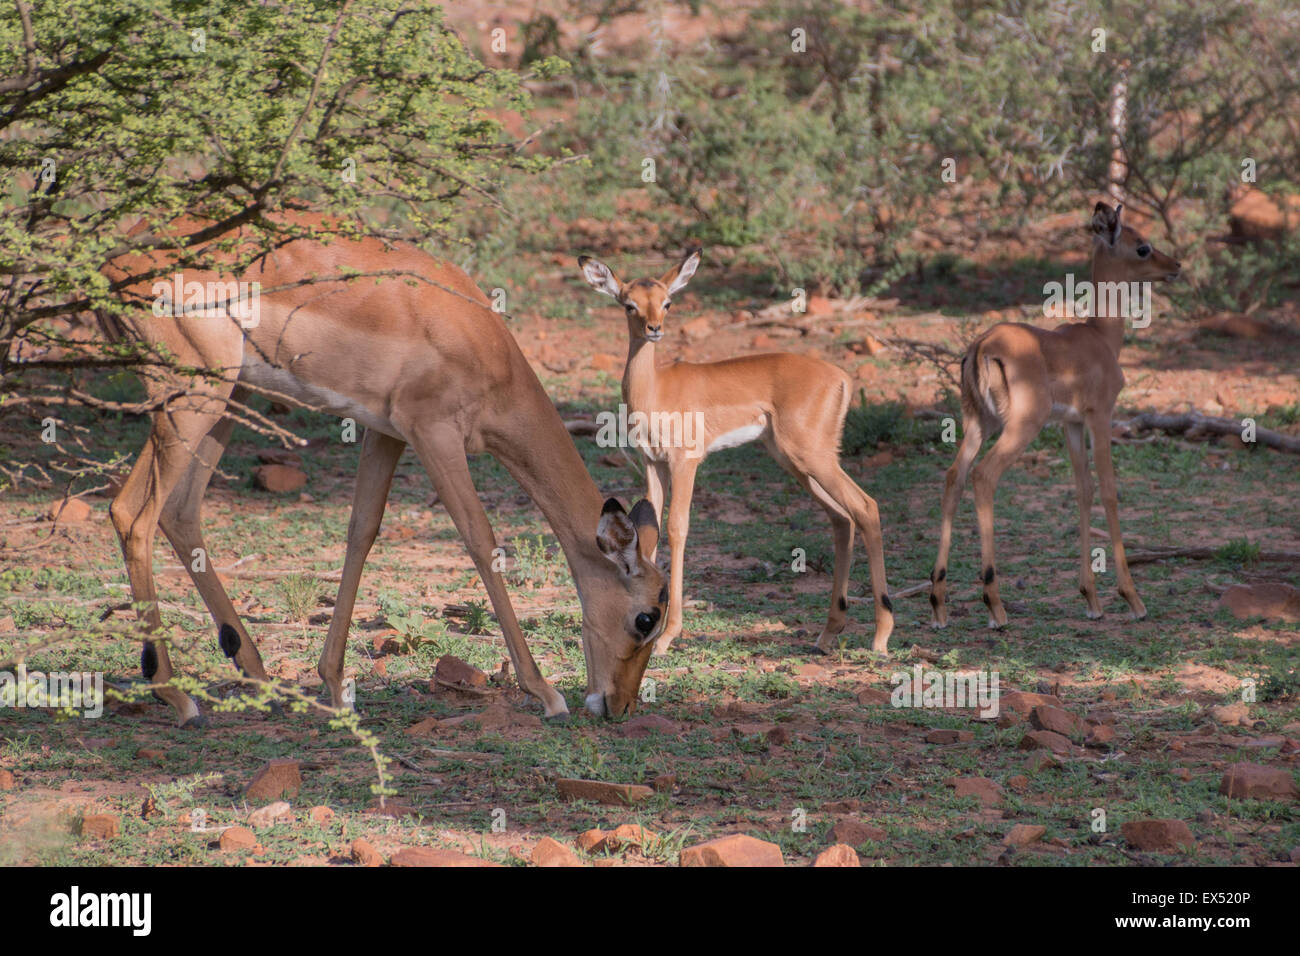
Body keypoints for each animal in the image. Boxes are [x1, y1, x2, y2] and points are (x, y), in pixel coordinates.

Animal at [579, 248, 894, 658]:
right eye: (629, 304)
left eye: (667, 302)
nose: (654, 328)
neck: (655, 390)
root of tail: (841, 377)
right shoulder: (653, 463)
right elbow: (650, 527)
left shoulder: (686, 462)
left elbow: (678, 528)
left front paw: (667, 635)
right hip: (796, 462)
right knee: (842, 519)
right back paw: (827, 634)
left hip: (813, 458)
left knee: (866, 507)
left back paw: (881, 636)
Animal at [930, 204, 1185, 629]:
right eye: (1142, 247)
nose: (1176, 266)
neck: (1100, 338)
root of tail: (982, 345)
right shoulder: (1100, 417)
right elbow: (1109, 491)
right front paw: (1132, 598)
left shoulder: (1072, 424)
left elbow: (1083, 490)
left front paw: (1091, 599)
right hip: (1020, 427)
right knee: (983, 476)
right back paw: (994, 605)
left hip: (978, 424)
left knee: (955, 477)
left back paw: (938, 604)